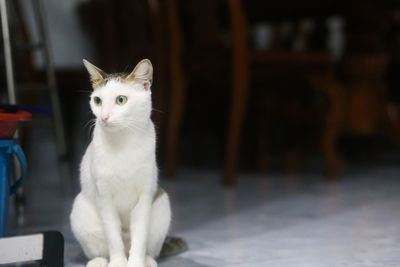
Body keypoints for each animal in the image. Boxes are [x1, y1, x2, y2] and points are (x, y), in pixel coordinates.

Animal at [70, 59, 170, 267]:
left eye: (121, 100)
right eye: (97, 101)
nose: (104, 117)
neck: (123, 142)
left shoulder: (144, 196)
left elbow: (140, 237)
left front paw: (136, 263)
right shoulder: (104, 197)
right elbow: (113, 238)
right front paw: (118, 262)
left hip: (162, 204)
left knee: (148, 247)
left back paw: (148, 260)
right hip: (80, 210)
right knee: (101, 249)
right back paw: (99, 261)